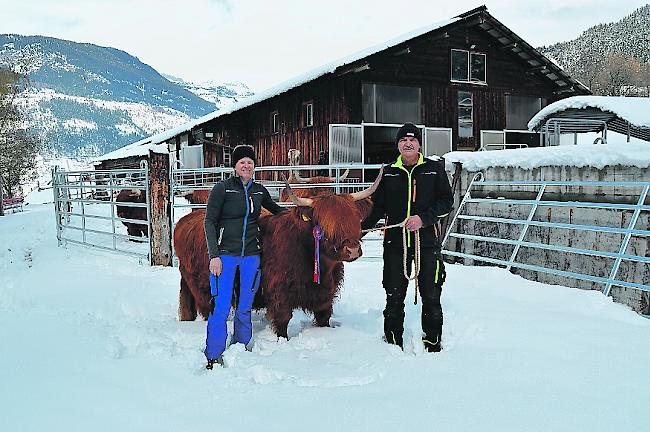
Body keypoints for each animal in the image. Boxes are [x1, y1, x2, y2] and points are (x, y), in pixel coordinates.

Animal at [175, 168, 382, 338]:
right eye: (324, 224)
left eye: (353, 219)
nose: (352, 250)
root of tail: (184, 221)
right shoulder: (279, 294)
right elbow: (282, 322)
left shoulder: (325, 297)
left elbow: (324, 318)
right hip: (202, 289)